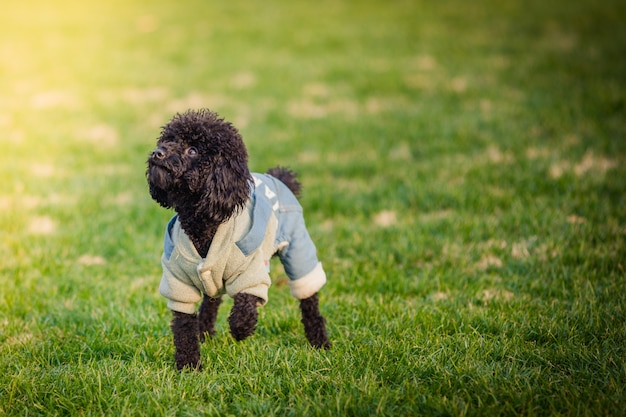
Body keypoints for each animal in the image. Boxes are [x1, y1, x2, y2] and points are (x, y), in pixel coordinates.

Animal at [147, 109, 332, 368]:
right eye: (167, 140)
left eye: (193, 150)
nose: (157, 153)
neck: (203, 222)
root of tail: (278, 178)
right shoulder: (178, 281)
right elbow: (183, 326)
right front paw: (189, 366)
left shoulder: (250, 269)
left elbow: (246, 302)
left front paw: (240, 329)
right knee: (212, 301)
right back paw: (204, 333)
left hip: (297, 247)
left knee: (309, 297)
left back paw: (320, 342)